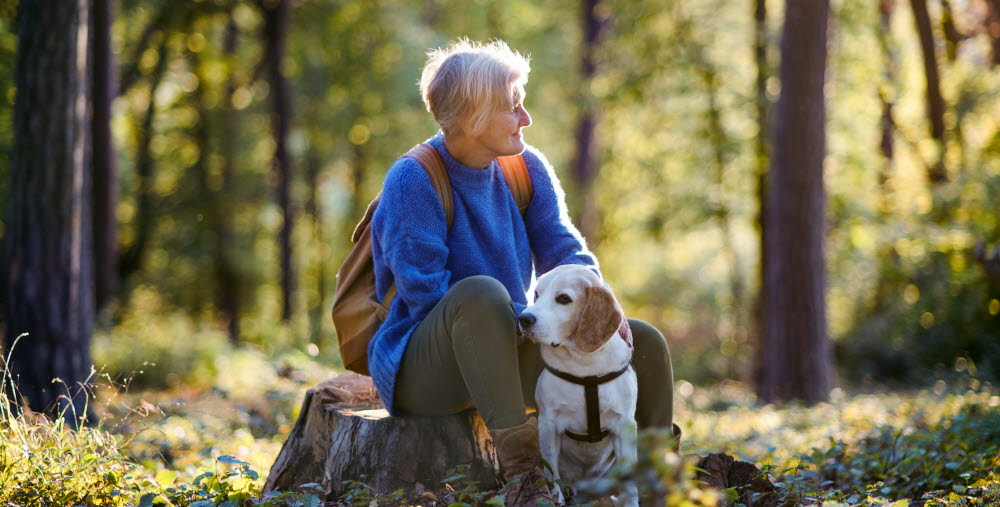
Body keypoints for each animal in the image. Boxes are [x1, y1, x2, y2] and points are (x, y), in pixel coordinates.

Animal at [520, 264, 636, 506]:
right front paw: (556, 499)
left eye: (563, 299)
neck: (585, 368)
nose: (523, 318)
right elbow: (551, 473)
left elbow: (631, 483)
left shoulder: (625, 426)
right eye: (537, 294)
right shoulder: (548, 424)